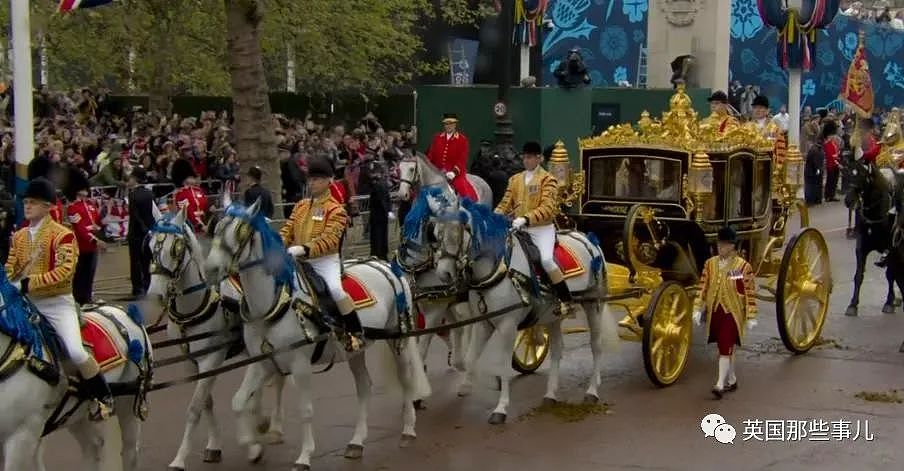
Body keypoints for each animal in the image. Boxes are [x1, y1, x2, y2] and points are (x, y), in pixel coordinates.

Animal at [0, 268, 153, 470]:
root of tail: (124, 312)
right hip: (75, 413)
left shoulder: (22, 435)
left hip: (128, 405)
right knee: (93, 447)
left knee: (129, 452)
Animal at [147, 207, 286, 471]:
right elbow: (206, 403)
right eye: (150, 246)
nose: (156, 295)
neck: (193, 307)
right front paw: (214, 445)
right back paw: (260, 418)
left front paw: (180, 458)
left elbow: (194, 407)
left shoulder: (211, 359)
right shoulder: (191, 362)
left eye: (176, 248)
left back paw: (272, 426)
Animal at [205, 201, 430, 470]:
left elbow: (305, 410)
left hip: (398, 339)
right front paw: (253, 448)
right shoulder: (263, 362)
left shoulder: (300, 365)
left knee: (406, 380)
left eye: (241, 232)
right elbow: (238, 402)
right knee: (364, 387)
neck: (275, 303)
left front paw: (304, 456)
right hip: (355, 350)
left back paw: (408, 430)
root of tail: (385, 265)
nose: (210, 269)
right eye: (216, 228)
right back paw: (356, 442)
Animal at [434, 199, 612, 424]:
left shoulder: (507, 326)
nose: (443, 274)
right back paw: (550, 395)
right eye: (436, 233)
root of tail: (587, 238)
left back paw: (592, 390)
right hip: (553, 317)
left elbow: (502, 365)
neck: (499, 269)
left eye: (457, 232)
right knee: (557, 351)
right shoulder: (484, 323)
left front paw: (500, 408)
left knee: (596, 346)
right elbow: (472, 356)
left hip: (593, 305)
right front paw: (465, 386)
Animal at [844, 160, 900, 318]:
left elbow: (890, 274)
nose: (848, 200)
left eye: (862, 176)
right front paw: (852, 304)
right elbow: (858, 275)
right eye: (848, 174)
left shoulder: (892, 248)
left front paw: (889, 302)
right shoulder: (862, 247)